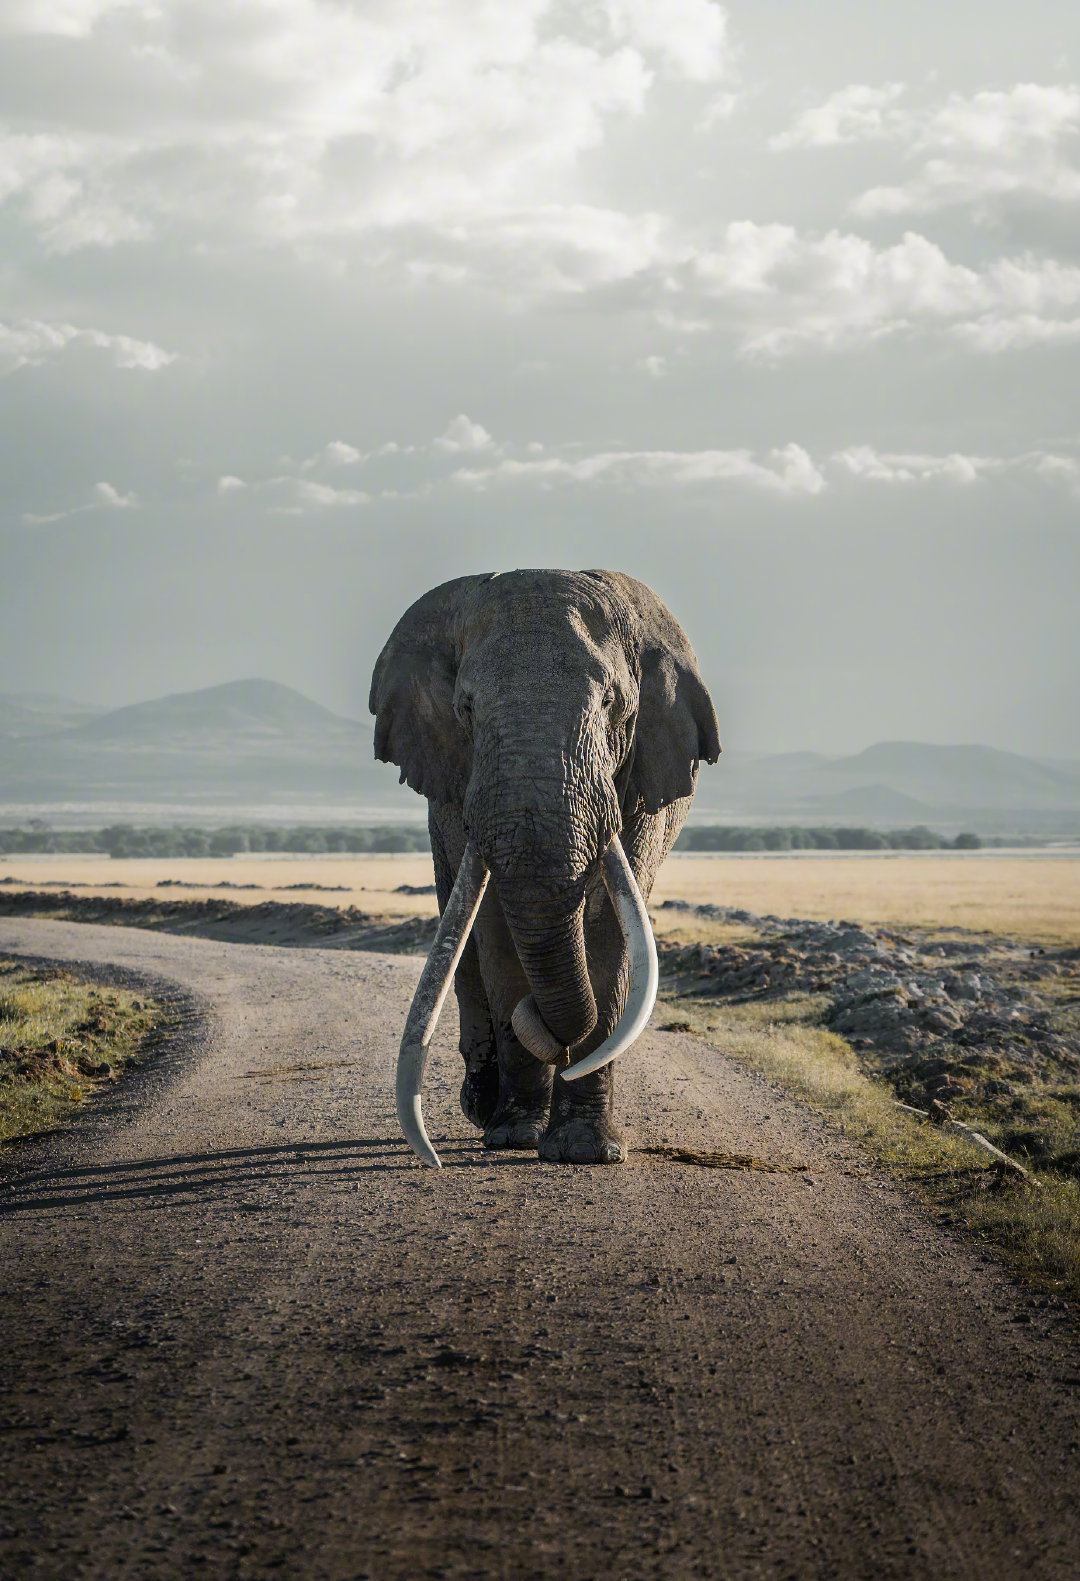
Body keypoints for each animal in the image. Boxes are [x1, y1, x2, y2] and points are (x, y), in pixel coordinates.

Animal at [369, 568, 720, 1166]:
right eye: (465, 709)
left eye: (611, 702)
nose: (553, 1035)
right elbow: (497, 931)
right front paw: (515, 1136)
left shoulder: (640, 779)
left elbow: (609, 931)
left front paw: (585, 1150)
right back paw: (485, 1105)